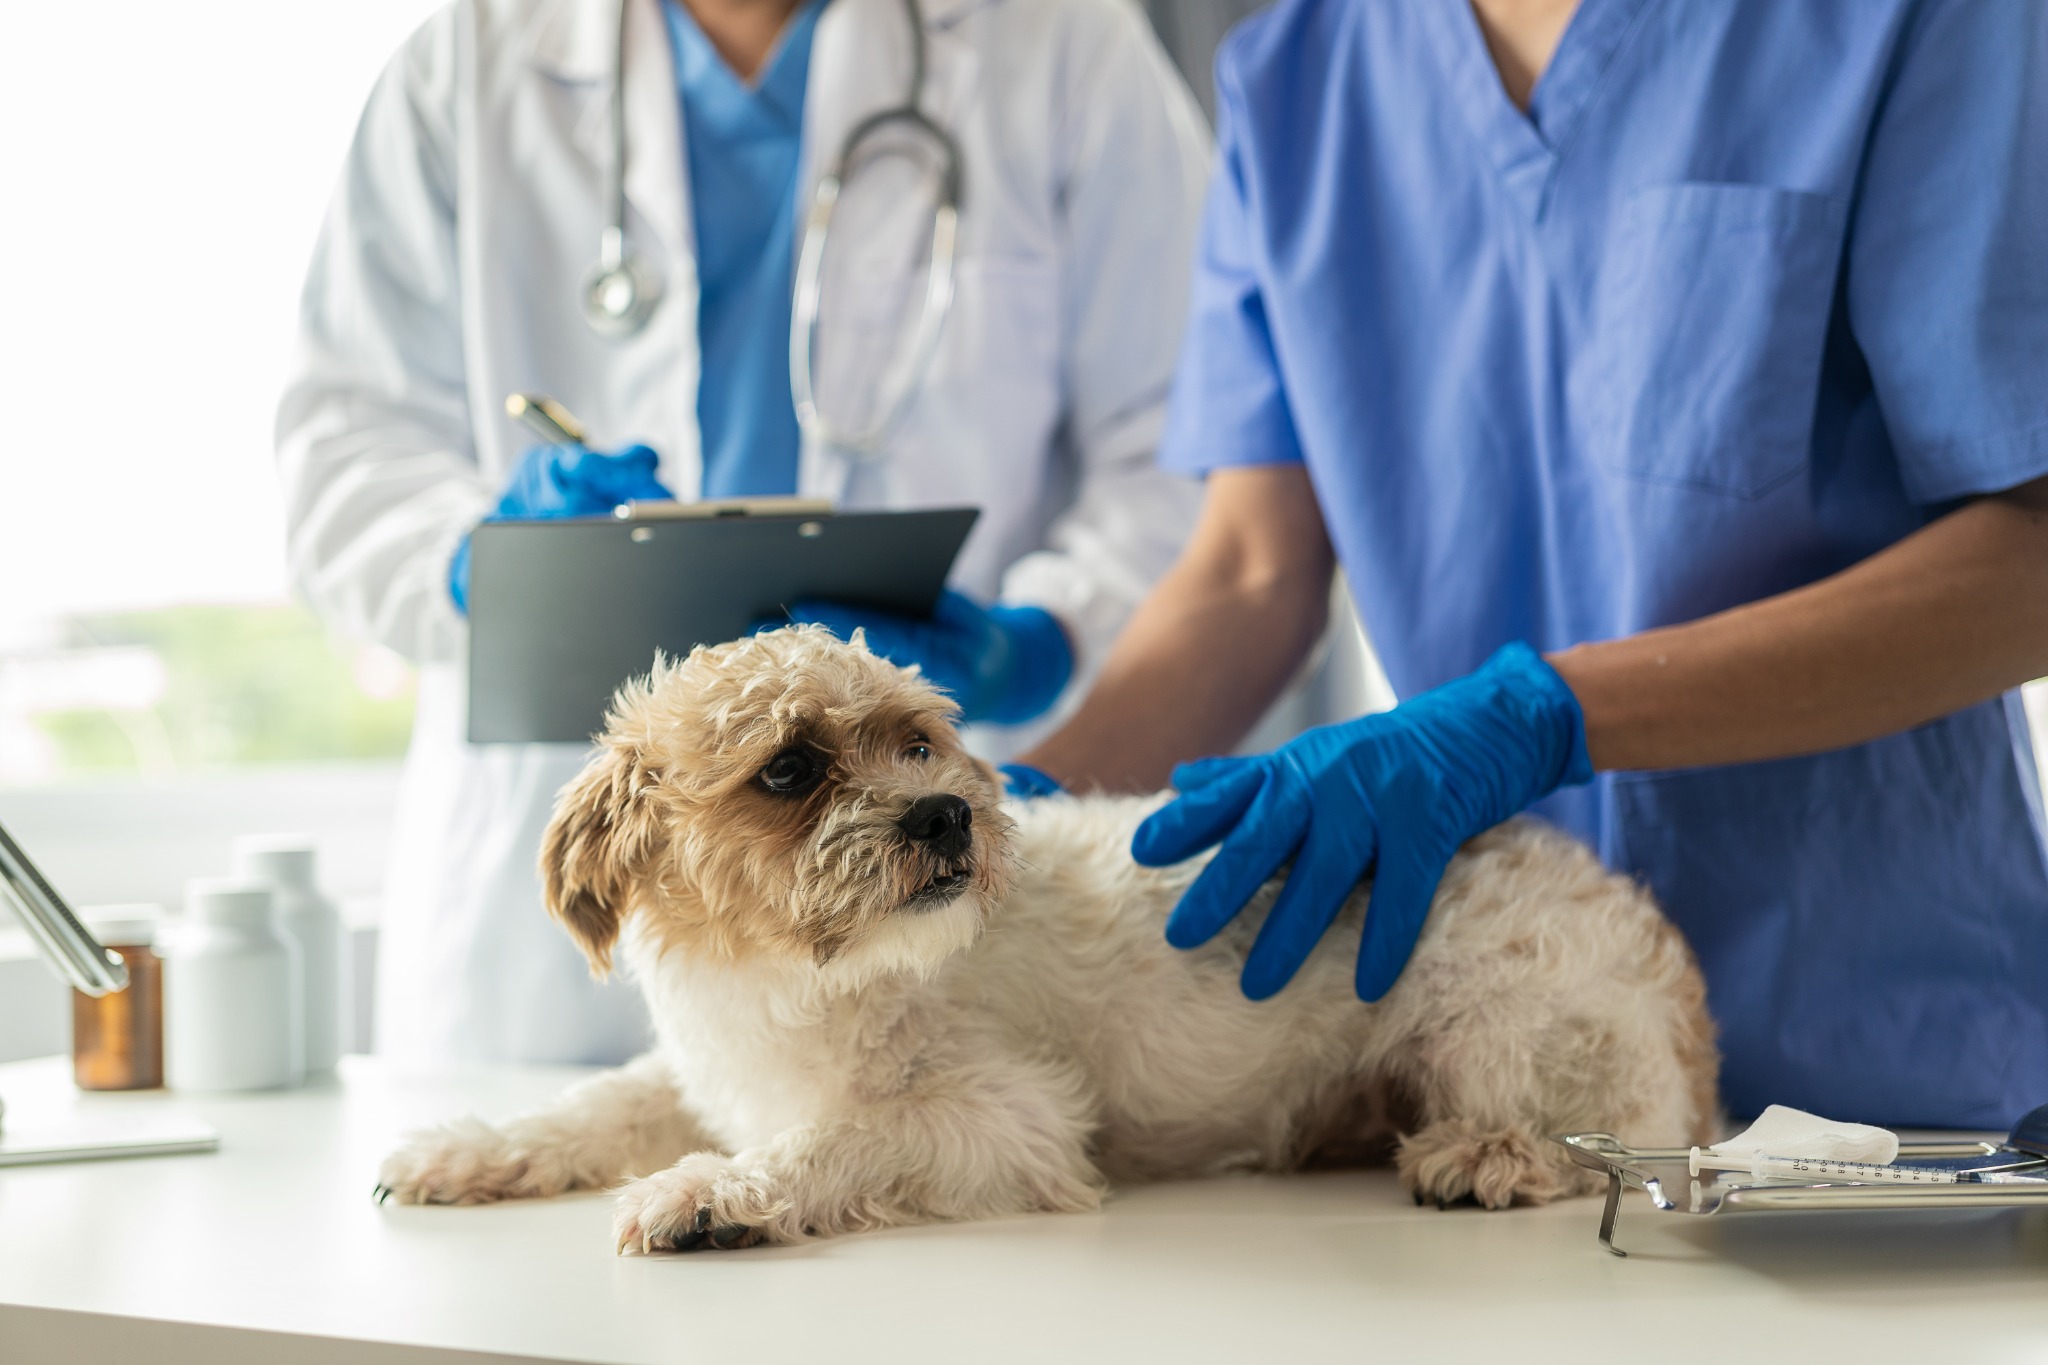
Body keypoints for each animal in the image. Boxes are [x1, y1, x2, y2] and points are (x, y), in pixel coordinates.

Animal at [372, 630, 1712, 1252]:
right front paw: (470, 1150)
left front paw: (710, 1194)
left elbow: (828, 1143)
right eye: (791, 769)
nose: (944, 811)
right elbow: (588, 1109)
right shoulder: (702, 1071)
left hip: (1480, 1011)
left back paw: (1485, 1156)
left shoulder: (1007, 1123)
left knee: (1588, 1137)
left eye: (917, 741)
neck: (794, 986)